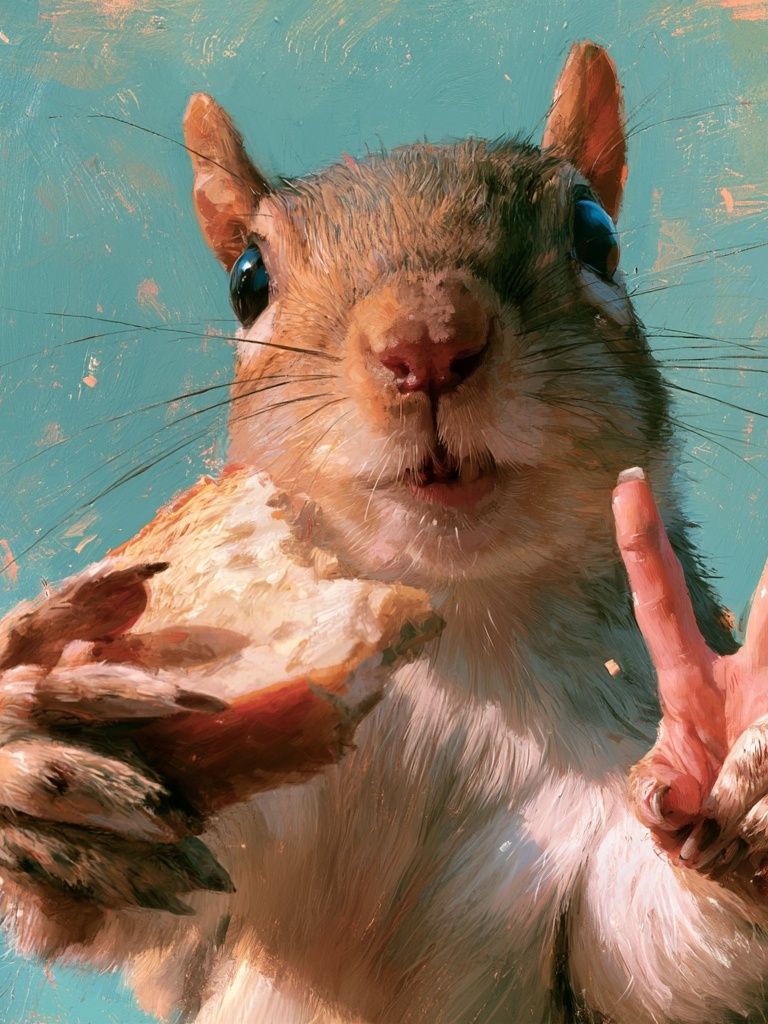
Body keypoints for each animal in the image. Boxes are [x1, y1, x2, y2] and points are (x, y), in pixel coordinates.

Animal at [2, 39, 768, 1024]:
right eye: (247, 280)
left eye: (597, 235)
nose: (428, 341)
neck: (463, 641)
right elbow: (126, 928)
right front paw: (42, 751)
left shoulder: (592, 858)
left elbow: (659, 952)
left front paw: (732, 772)